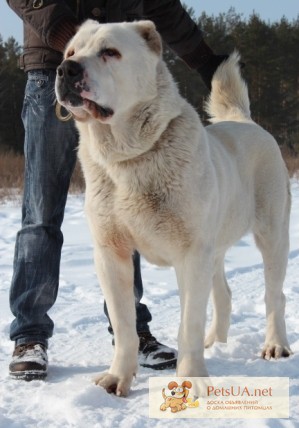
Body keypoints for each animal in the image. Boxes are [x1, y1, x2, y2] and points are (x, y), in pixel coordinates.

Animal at [55, 19, 292, 394]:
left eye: (110, 52)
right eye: (71, 52)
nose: (66, 69)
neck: (129, 158)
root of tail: (245, 122)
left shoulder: (191, 254)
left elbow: (188, 323)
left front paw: (191, 379)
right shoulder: (111, 252)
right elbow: (124, 325)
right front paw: (117, 378)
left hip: (272, 234)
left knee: (274, 296)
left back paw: (275, 344)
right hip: (215, 245)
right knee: (223, 294)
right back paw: (216, 342)